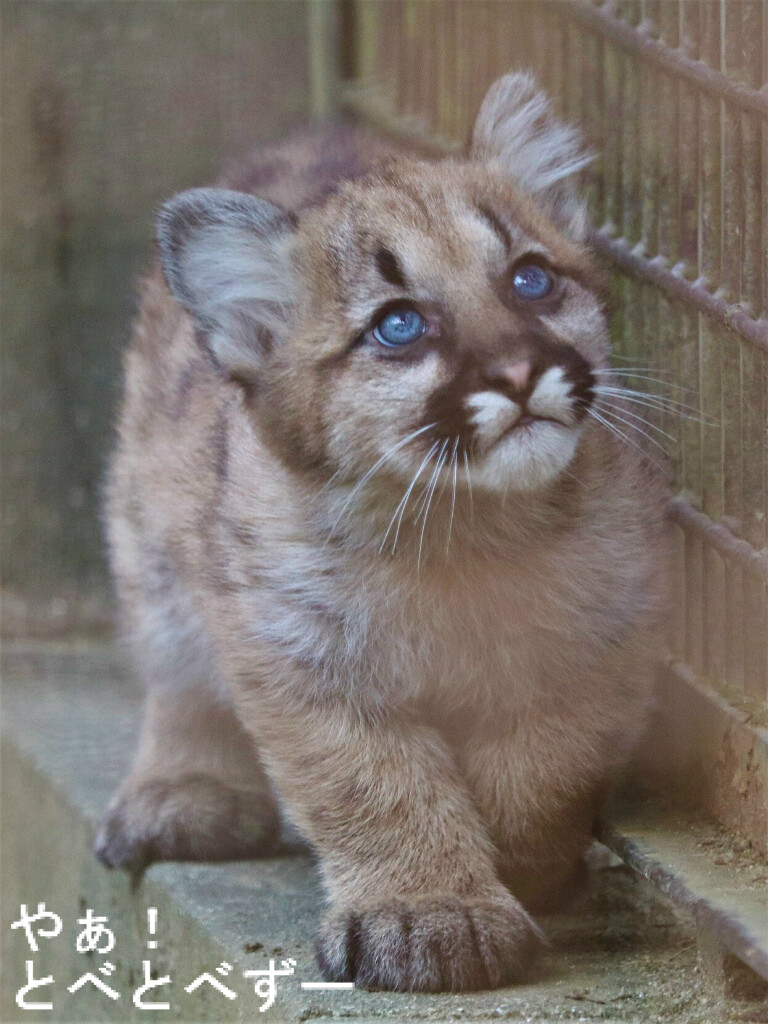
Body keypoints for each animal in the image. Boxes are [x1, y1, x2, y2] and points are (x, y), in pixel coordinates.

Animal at [96, 77, 667, 991]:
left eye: (531, 278)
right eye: (398, 326)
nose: (521, 374)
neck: (464, 532)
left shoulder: (610, 628)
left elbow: (546, 764)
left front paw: (523, 867)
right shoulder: (297, 652)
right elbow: (369, 785)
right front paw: (426, 910)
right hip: (149, 532)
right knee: (172, 666)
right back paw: (180, 792)